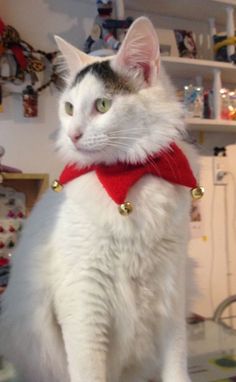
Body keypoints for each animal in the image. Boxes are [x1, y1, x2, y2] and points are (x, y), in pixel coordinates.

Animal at [0, 16, 196, 380]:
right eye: (68, 108)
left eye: (103, 105)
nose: (72, 134)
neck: (126, 178)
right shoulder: (84, 300)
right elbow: (88, 369)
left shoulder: (171, 291)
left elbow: (176, 365)